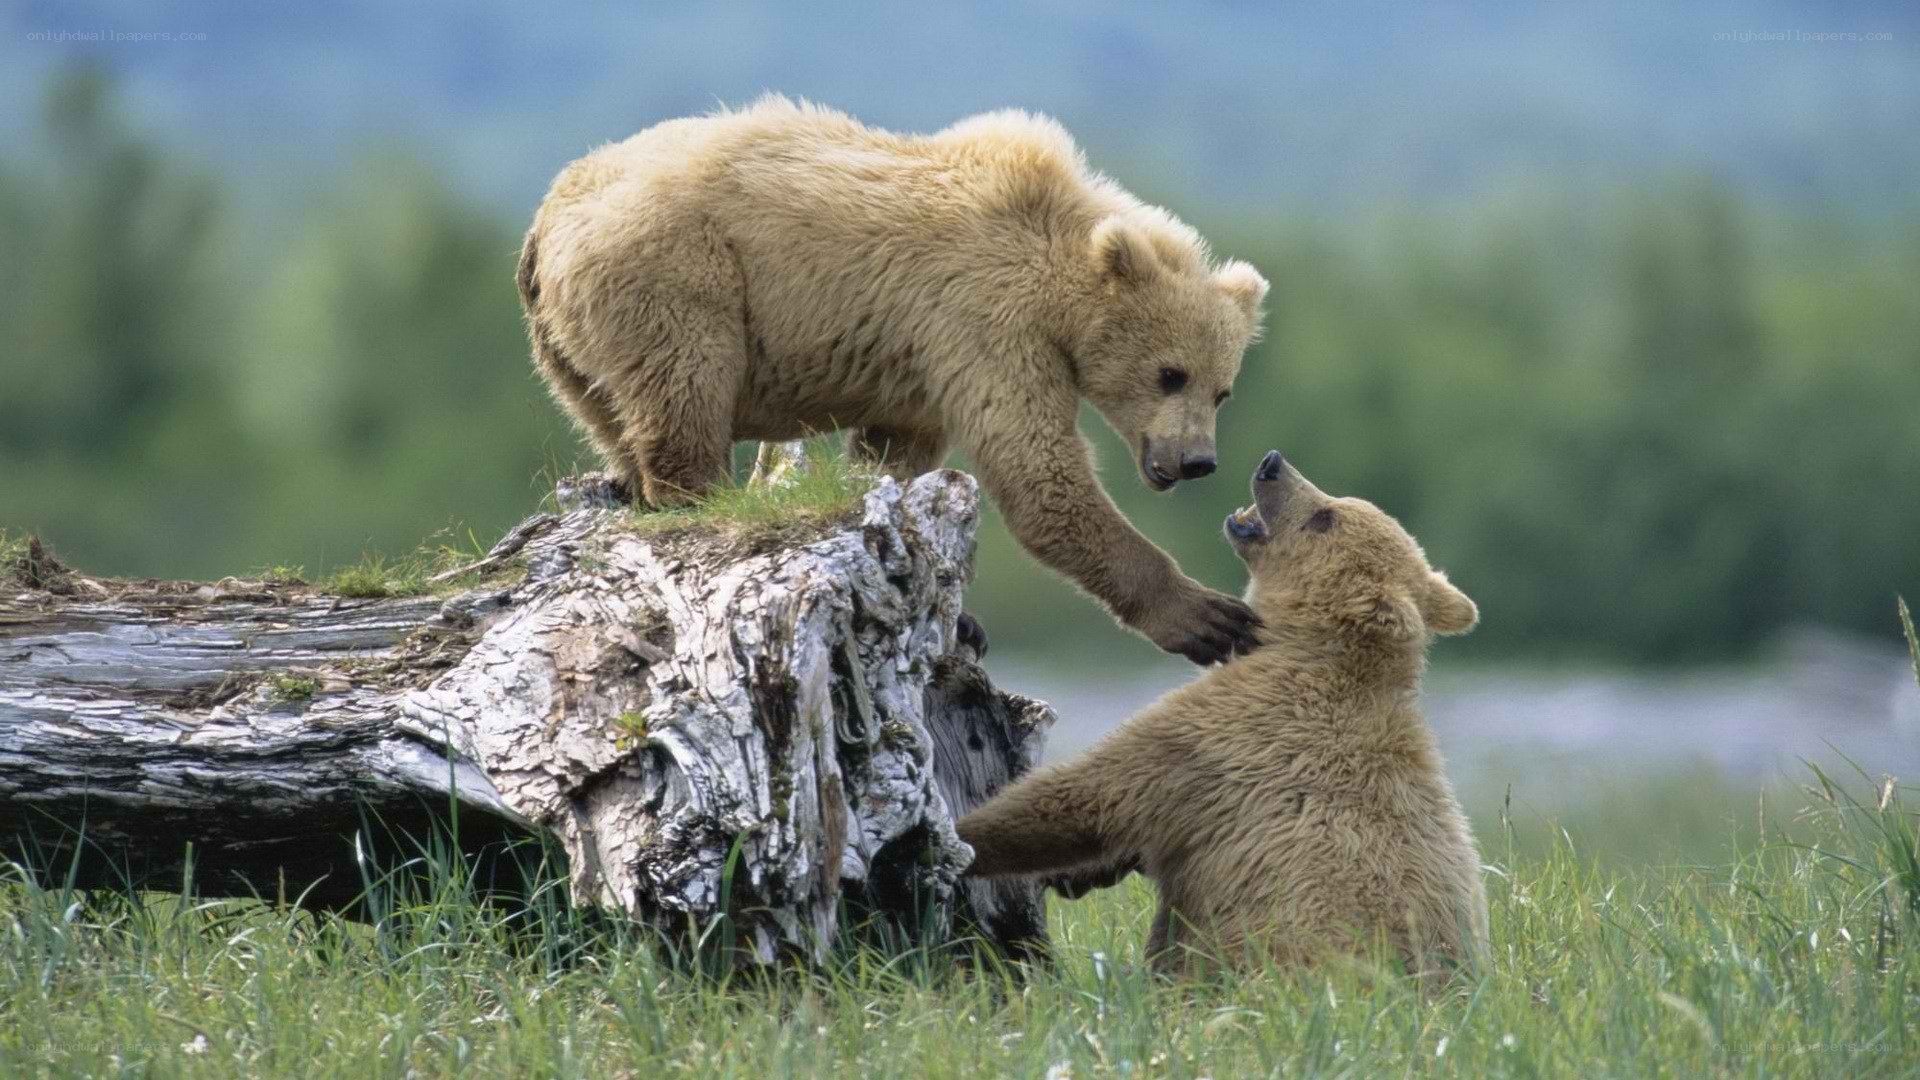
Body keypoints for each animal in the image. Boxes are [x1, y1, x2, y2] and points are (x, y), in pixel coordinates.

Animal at [517, 97, 1269, 664]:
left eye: (1222, 389)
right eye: (1170, 374)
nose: (1197, 461)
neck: (1059, 270)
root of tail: (545, 218)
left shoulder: (924, 364)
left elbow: (897, 456)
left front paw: (958, 614)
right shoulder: (985, 321)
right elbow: (1039, 475)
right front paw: (1209, 616)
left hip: (569, 348)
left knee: (614, 416)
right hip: (675, 272)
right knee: (686, 389)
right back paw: (701, 495)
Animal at [957, 450, 1488, 980]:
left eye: (1325, 516)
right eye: (1337, 503)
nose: (1273, 464)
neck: (1305, 645)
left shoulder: (1225, 736)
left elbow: (1087, 796)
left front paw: (962, 837)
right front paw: (1079, 873)